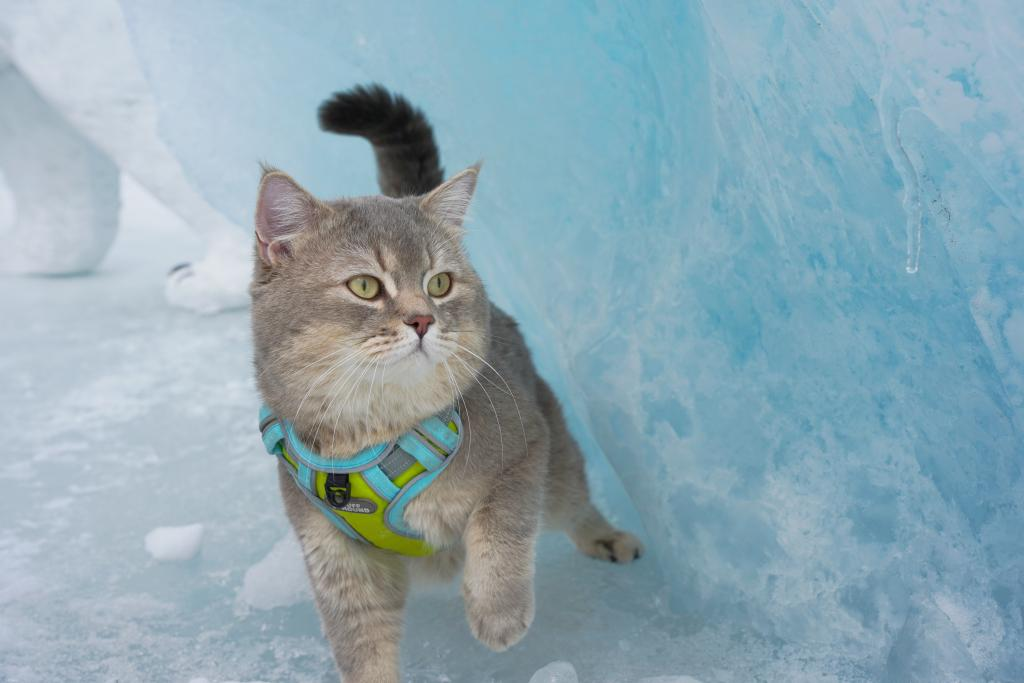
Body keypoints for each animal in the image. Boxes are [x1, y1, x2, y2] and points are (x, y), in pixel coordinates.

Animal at [249, 85, 638, 683]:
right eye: (365, 286)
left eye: (440, 283)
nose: (422, 320)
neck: (374, 429)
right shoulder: (332, 551)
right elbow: (360, 643)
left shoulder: (523, 447)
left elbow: (501, 529)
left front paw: (499, 614)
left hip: (558, 463)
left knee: (574, 504)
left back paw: (608, 537)